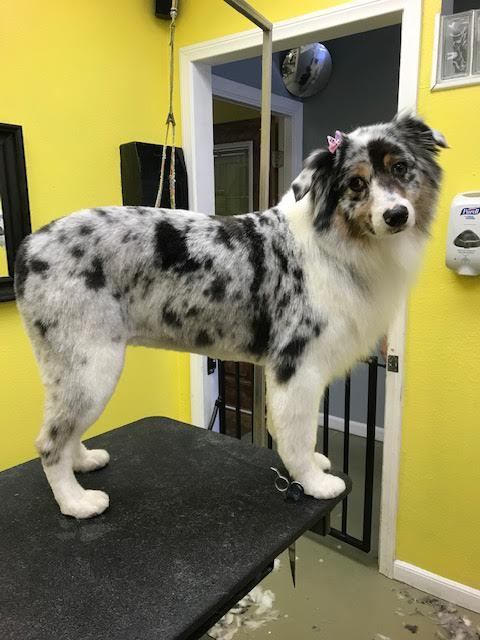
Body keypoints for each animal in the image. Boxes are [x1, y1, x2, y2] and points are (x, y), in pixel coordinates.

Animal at [15, 114, 446, 518]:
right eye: (356, 183)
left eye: (401, 167)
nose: (396, 214)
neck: (337, 241)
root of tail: (28, 246)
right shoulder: (296, 365)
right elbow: (298, 432)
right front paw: (314, 481)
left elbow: (303, 432)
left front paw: (316, 464)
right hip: (89, 365)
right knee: (49, 442)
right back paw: (76, 501)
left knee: (66, 430)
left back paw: (84, 461)